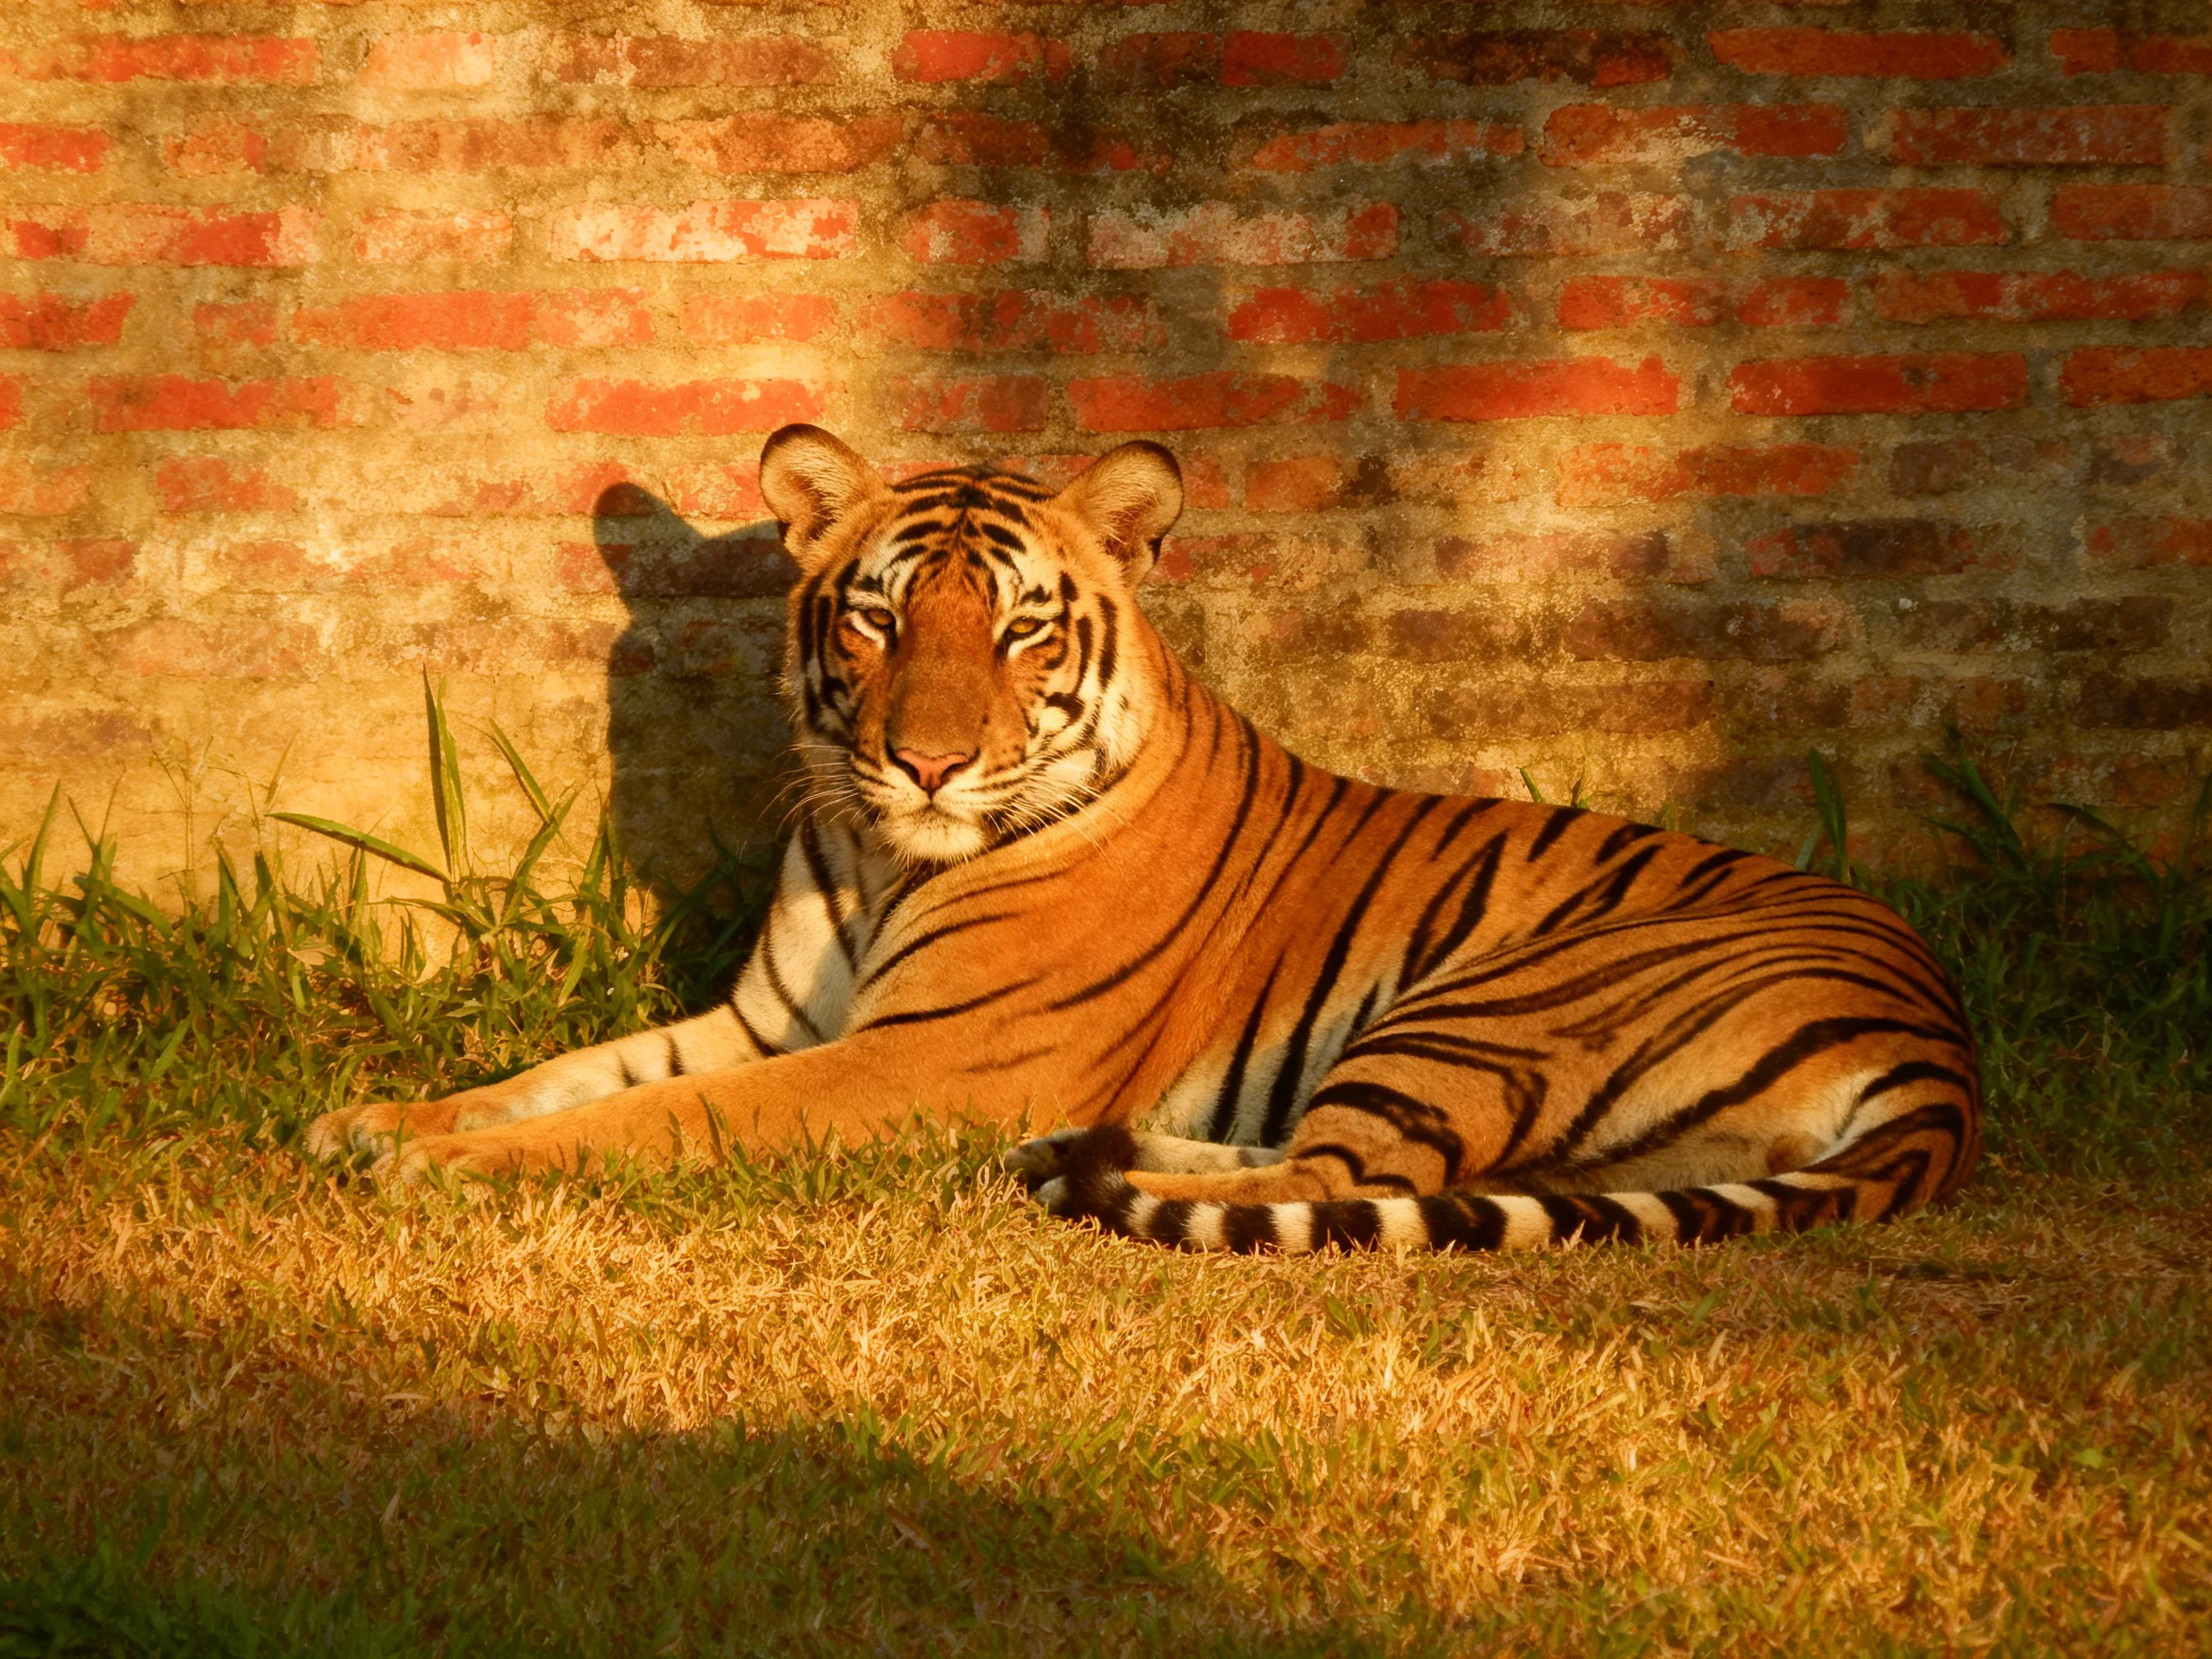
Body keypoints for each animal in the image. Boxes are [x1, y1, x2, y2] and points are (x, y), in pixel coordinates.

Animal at [305, 423, 1981, 1254]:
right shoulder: (766, 1021)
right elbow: (567, 1075)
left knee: (1344, 1176)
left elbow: (649, 1119)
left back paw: (1077, 1165)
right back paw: (1077, 1151)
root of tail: (1944, 1044)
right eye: (879, 615)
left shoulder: (914, 1061)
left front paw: (439, 1169)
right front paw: (379, 1122)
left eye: (1021, 628)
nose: (926, 760)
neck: (881, 854)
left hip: (1498, 1002)